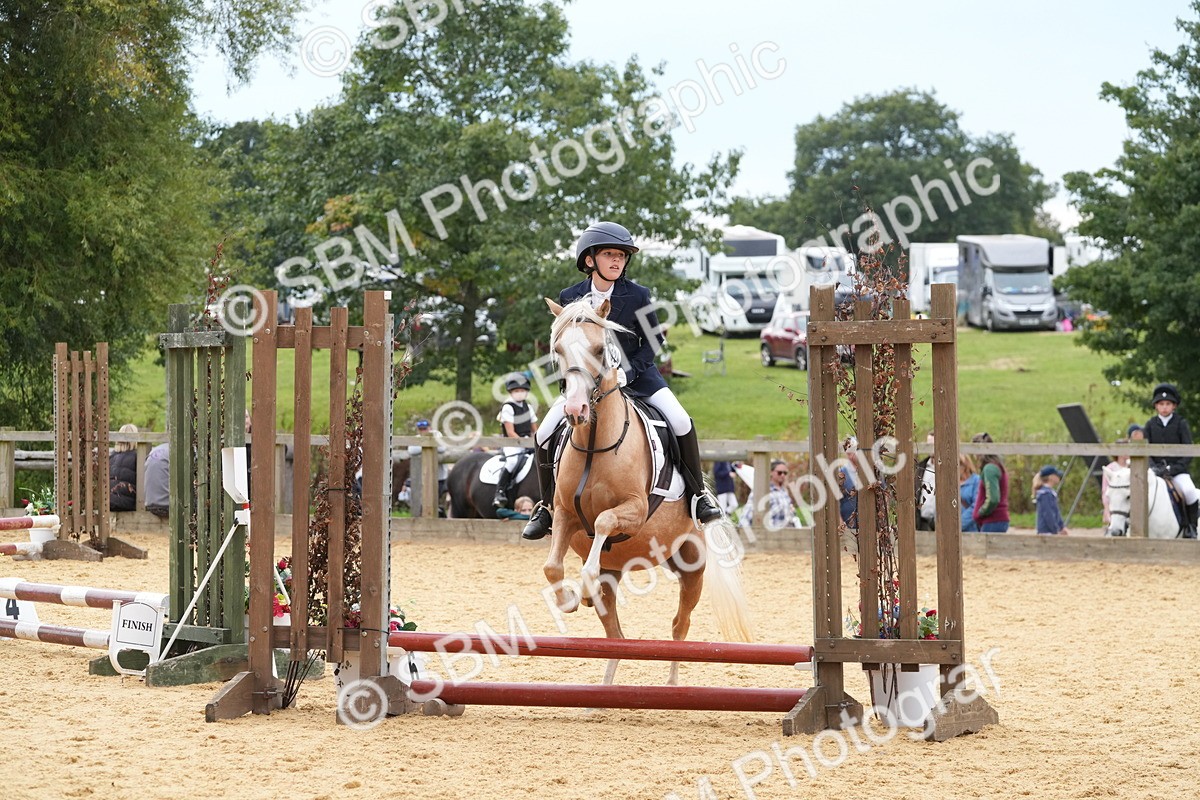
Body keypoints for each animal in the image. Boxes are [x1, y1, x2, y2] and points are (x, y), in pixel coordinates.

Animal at [542, 297, 754, 685]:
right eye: (559, 350)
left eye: (600, 349)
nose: (576, 411)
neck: (594, 442)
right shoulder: (563, 513)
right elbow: (552, 567)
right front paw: (570, 599)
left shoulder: (636, 510)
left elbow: (604, 522)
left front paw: (582, 588)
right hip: (617, 573)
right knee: (616, 636)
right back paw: (603, 690)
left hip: (691, 567)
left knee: (679, 625)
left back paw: (671, 686)